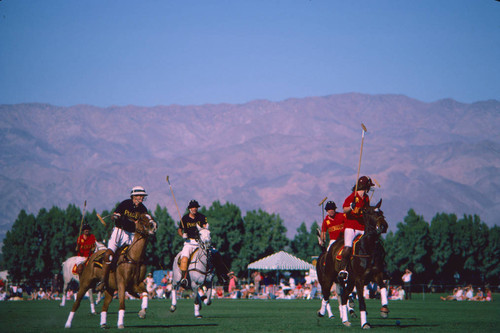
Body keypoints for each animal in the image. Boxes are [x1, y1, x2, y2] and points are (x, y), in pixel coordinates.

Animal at [314, 198, 388, 328]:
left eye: (381, 212)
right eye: (370, 213)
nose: (383, 226)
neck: (368, 248)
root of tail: (327, 251)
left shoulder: (377, 274)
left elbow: (383, 287)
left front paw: (384, 309)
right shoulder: (359, 279)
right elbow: (362, 301)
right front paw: (365, 323)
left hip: (347, 280)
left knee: (342, 296)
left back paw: (345, 319)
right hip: (328, 278)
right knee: (326, 295)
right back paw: (323, 313)